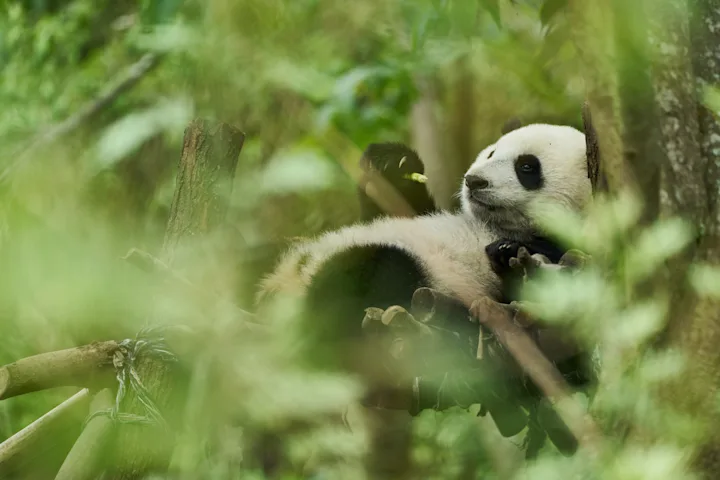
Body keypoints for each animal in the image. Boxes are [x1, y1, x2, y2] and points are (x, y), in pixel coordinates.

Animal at [256, 123, 592, 376]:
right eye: (492, 152)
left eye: (526, 166)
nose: (474, 181)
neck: (495, 225)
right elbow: (401, 207)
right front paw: (392, 163)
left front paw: (508, 251)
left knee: (377, 269)